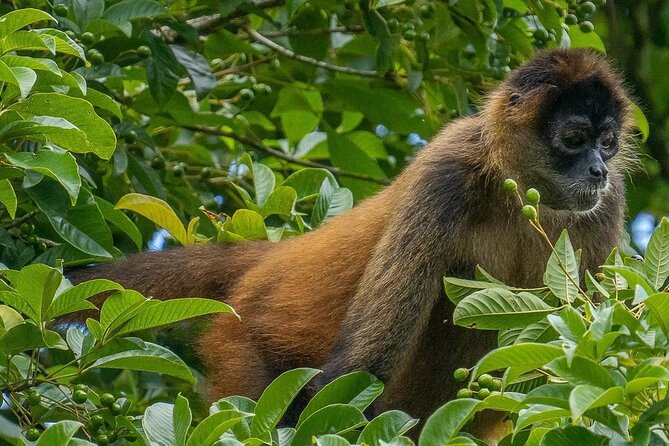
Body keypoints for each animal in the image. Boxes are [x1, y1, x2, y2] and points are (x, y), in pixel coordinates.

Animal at [68, 48, 632, 440]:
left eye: (607, 143)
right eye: (575, 140)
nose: (598, 170)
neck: (520, 193)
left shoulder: (607, 205)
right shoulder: (445, 173)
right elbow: (359, 369)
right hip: (243, 347)